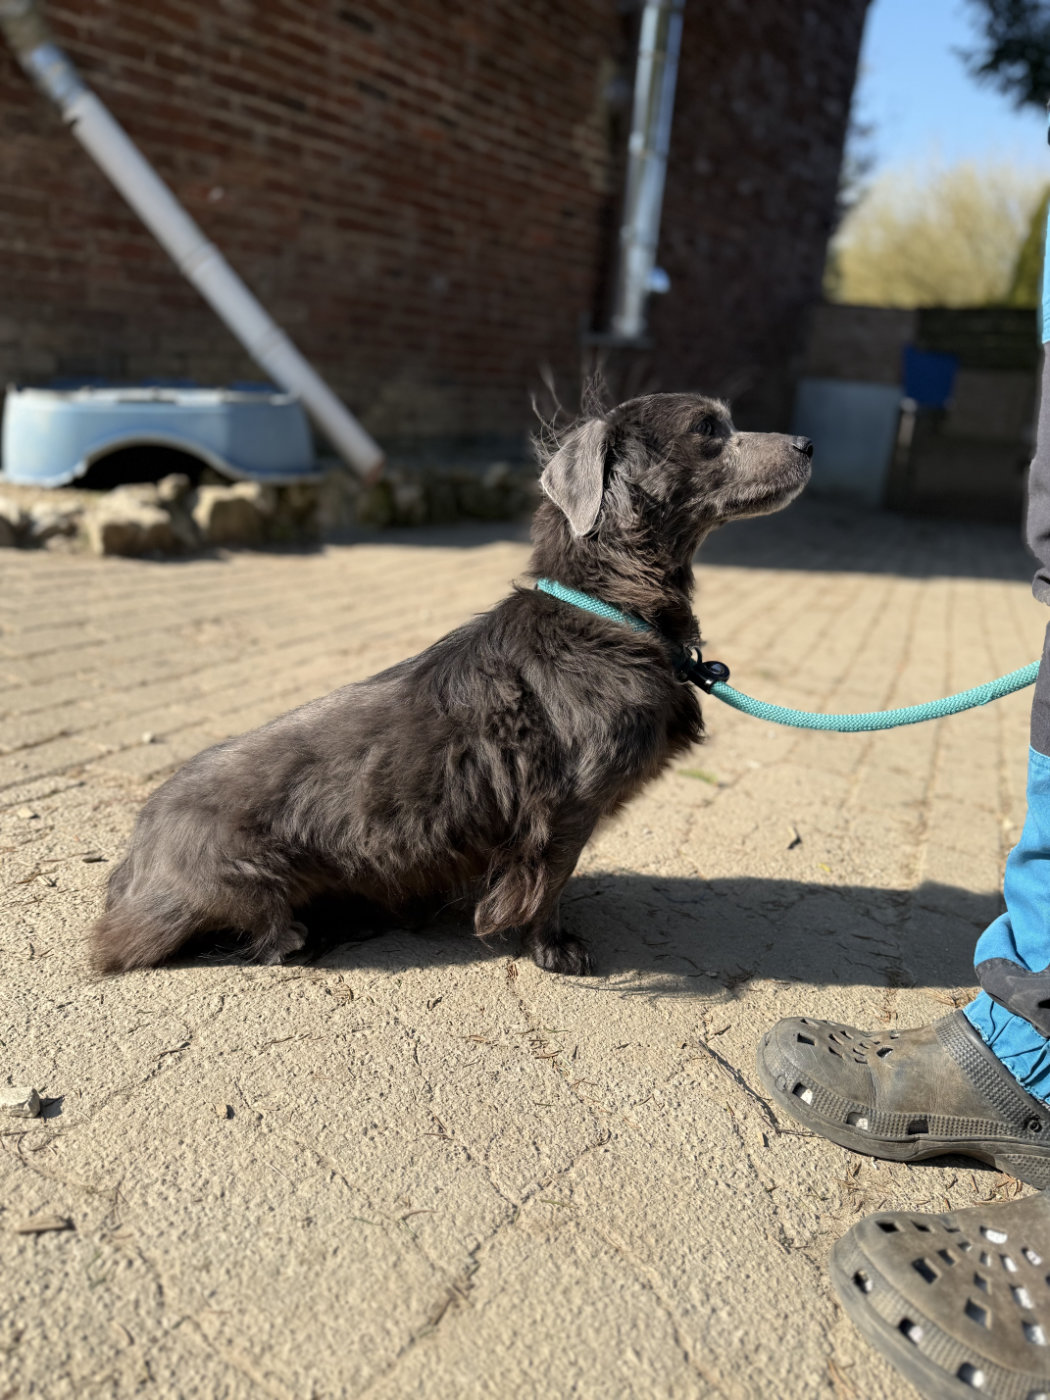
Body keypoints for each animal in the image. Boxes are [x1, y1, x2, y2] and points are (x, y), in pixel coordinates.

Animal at [91, 393, 812, 977]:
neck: (607, 608)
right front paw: (551, 948)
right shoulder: (568, 807)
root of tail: (135, 861)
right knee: (259, 934)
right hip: (252, 879)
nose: (807, 444)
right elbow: (551, 880)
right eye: (709, 429)